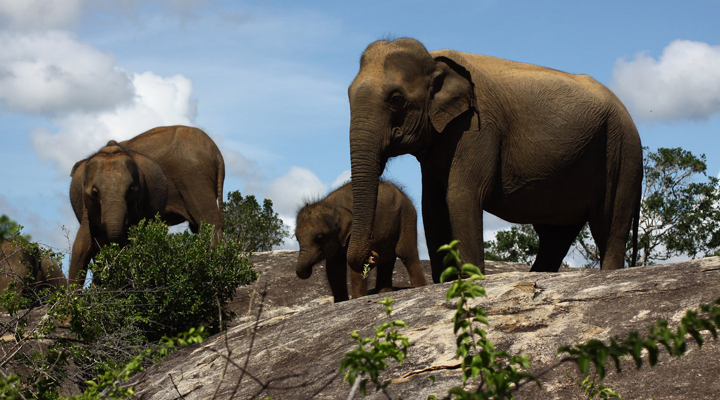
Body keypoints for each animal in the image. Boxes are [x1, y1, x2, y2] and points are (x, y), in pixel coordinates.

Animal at [296, 180, 428, 302]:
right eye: (297, 238)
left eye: (319, 237)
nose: (372, 255)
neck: (331, 205)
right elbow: (334, 267)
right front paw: (341, 302)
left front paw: (357, 298)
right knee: (387, 259)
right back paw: (384, 293)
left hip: (407, 214)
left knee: (405, 251)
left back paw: (418, 287)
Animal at [346, 38, 644, 282]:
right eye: (347, 95)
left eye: (395, 99)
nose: (371, 256)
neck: (434, 59)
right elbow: (432, 206)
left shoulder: (478, 128)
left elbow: (460, 196)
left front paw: (470, 282)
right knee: (555, 236)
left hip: (622, 153)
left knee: (610, 226)